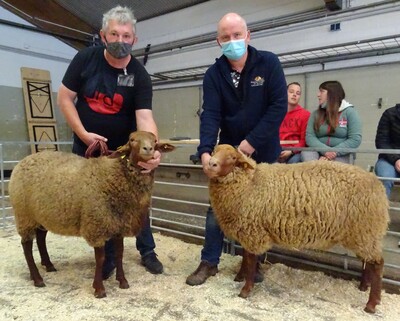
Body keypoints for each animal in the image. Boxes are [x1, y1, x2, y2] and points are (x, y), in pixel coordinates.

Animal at [8, 130, 174, 298]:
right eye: (132, 140)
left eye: (155, 140)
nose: (148, 149)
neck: (116, 177)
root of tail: (22, 162)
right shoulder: (96, 226)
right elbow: (100, 258)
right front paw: (99, 288)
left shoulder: (119, 226)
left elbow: (119, 254)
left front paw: (122, 281)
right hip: (24, 215)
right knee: (26, 245)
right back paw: (37, 278)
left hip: (41, 215)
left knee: (41, 239)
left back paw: (48, 265)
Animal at [208, 143, 390, 312]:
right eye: (214, 152)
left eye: (232, 157)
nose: (211, 164)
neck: (249, 183)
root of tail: (378, 185)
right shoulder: (248, 231)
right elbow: (246, 257)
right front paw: (240, 276)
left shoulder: (253, 231)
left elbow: (250, 260)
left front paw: (245, 290)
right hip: (364, 233)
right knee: (368, 261)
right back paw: (363, 287)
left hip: (365, 230)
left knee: (378, 263)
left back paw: (371, 304)